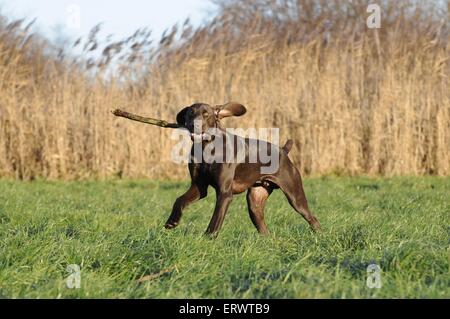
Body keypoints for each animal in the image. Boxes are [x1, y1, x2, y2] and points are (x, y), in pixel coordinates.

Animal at [165, 102, 320, 238]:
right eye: (190, 114)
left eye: (206, 114)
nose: (194, 125)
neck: (206, 147)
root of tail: (283, 151)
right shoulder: (199, 186)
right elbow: (179, 200)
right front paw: (172, 221)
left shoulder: (225, 193)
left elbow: (215, 219)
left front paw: (207, 238)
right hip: (255, 202)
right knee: (264, 230)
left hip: (295, 196)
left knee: (313, 219)